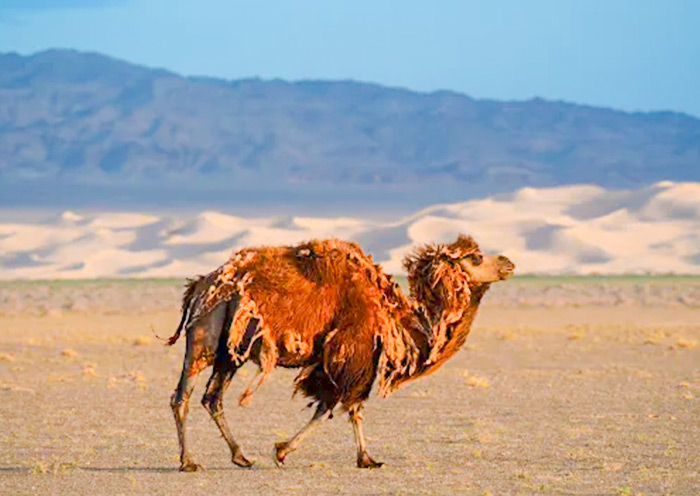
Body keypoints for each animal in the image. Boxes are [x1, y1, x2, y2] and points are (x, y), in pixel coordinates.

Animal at [166, 235, 514, 471]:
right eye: (476, 258)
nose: (509, 263)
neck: (392, 313)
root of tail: (198, 286)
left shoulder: (358, 359)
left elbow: (352, 409)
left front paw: (367, 458)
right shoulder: (350, 354)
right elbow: (331, 406)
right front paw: (282, 450)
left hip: (231, 352)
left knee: (212, 397)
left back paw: (240, 456)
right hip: (205, 337)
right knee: (183, 395)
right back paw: (188, 461)